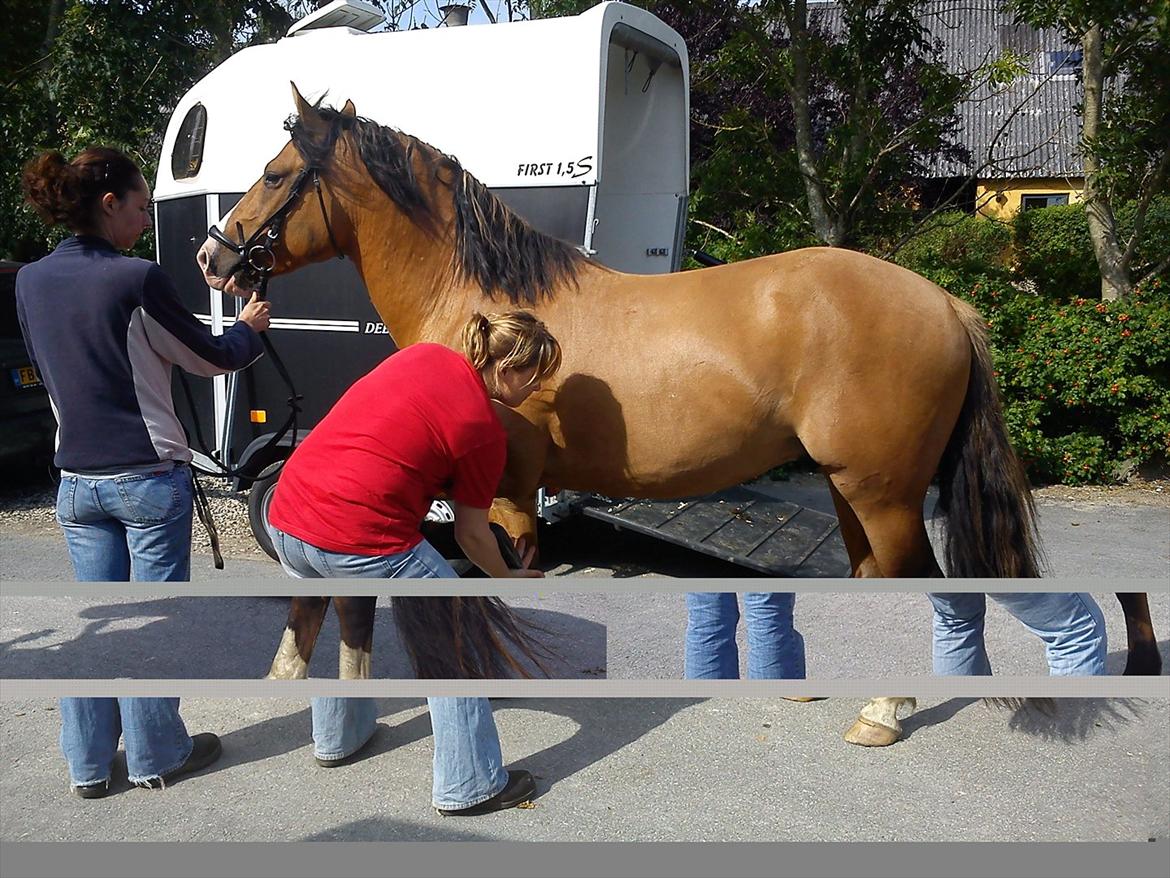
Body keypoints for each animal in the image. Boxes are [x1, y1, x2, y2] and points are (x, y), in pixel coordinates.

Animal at [196, 87, 1155, 744]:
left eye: (276, 174)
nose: (214, 258)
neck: (482, 300)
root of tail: (947, 304)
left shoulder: (502, 492)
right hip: (853, 493)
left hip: (883, 495)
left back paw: (886, 710)